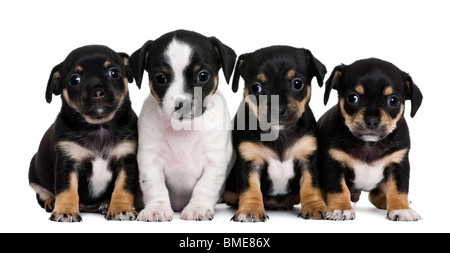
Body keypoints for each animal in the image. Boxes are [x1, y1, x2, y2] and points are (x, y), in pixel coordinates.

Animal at [28, 45, 139, 221]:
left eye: (114, 73)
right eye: (75, 80)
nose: (97, 91)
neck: (99, 126)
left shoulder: (127, 161)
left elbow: (123, 187)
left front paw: (121, 209)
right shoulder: (67, 163)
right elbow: (67, 189)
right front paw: (65, 211)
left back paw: (106, 203)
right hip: (34, 173)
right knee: (43, 193)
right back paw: (52, 201)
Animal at [128, 29, 237, 220]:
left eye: (203, 76)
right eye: (160, 78)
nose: (181, 104)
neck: (183, 130)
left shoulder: (215, 161)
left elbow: (205, 186)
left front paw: (198, 207)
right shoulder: (150, 160)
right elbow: (154, 185)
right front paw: (156, 208)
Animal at [320, 57, 422, 221]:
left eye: (393, 101)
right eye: (352, 98)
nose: (372, 120)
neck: (369, 144)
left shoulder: (399, 164)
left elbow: (399, 189)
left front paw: (401, 208)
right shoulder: (333, 163)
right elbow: (338, 188)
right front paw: (341, 208)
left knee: (376, 196)